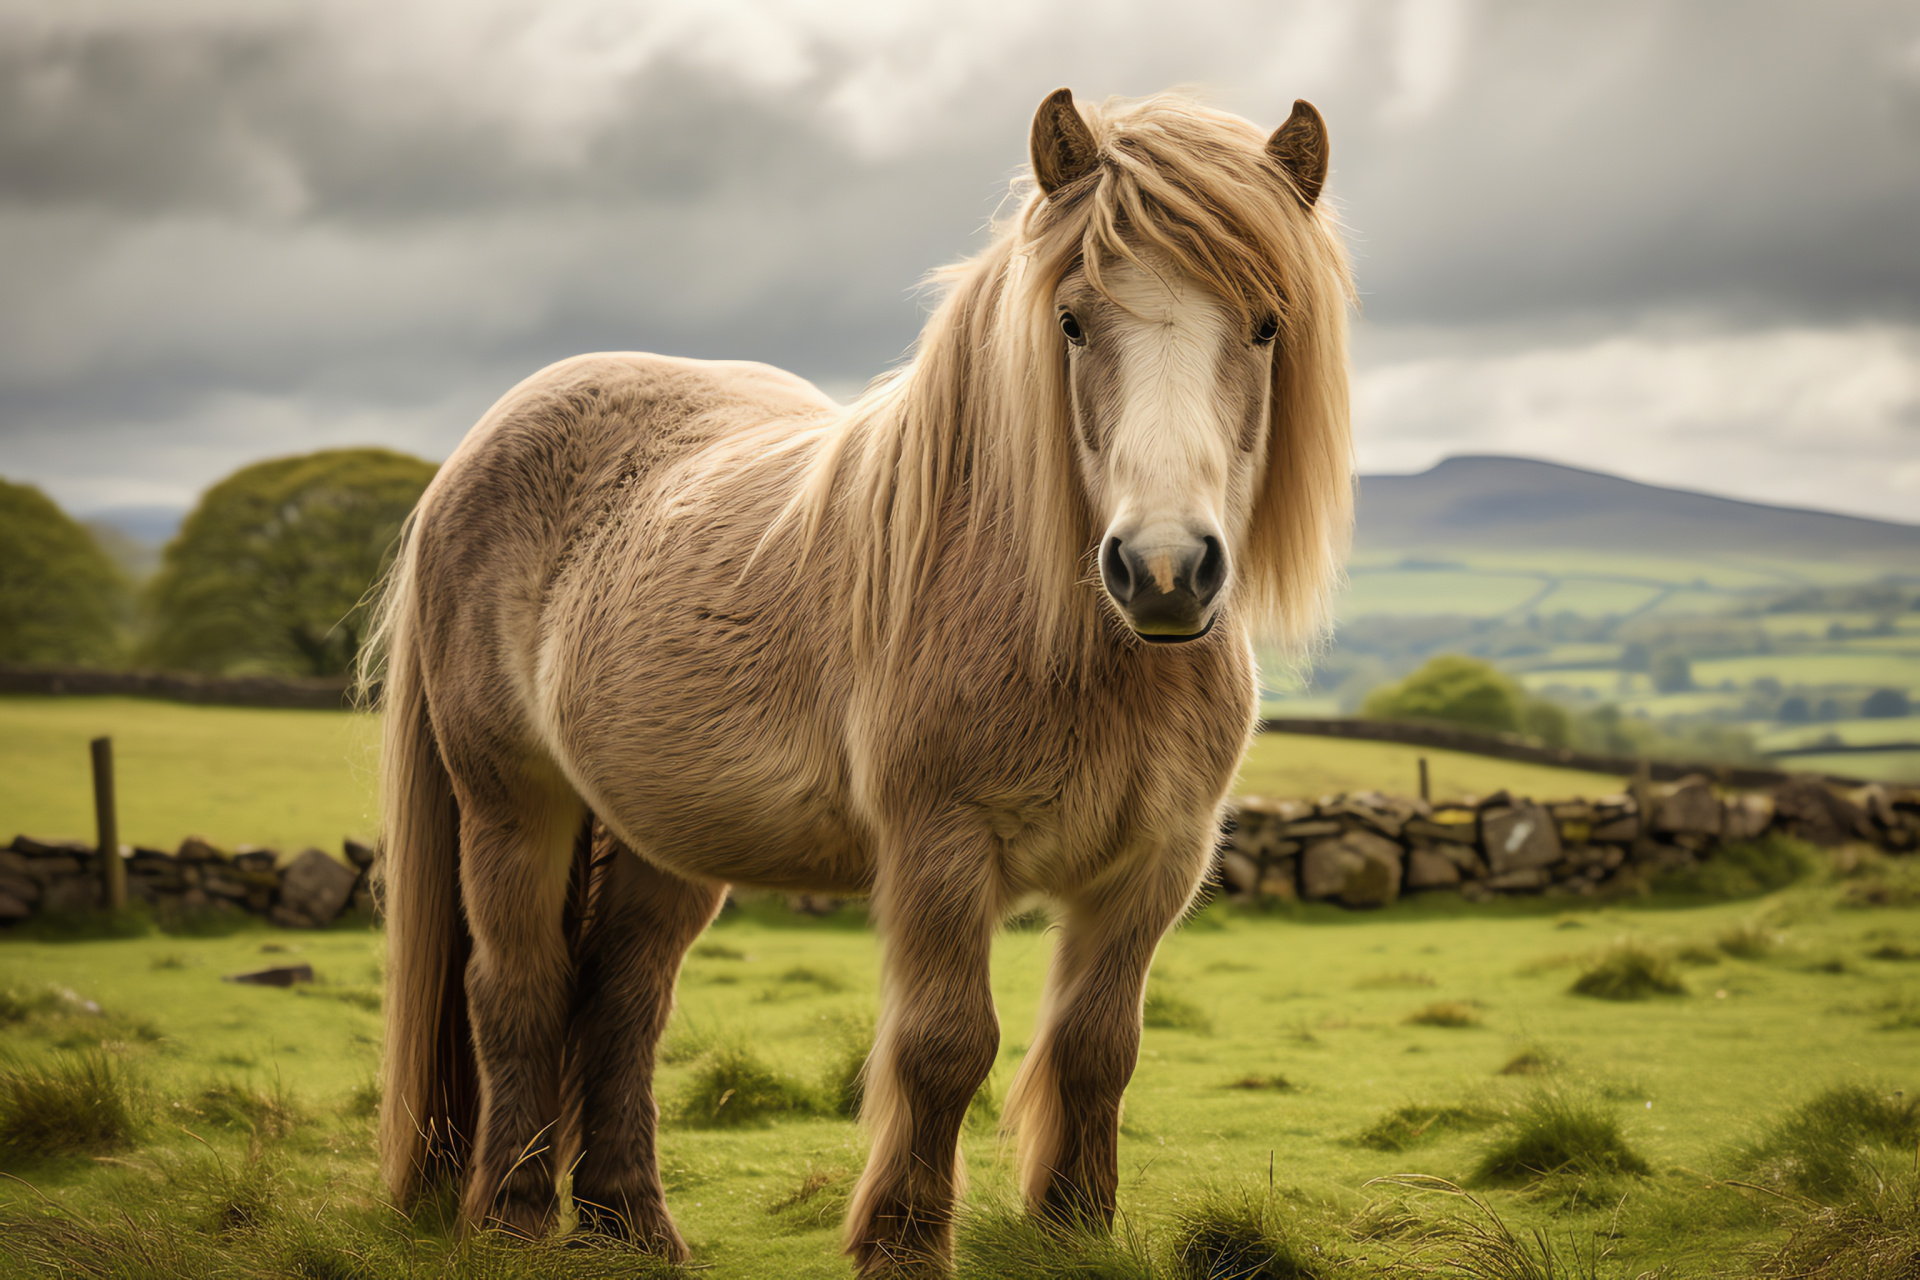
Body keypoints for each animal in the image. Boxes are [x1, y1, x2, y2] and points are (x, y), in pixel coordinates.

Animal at [370, 84, 1351, 1274]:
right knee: (516, 988)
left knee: (620, 997)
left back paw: (630, 1226)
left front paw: (1071, 1228)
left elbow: (1096, 1047)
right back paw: (513, 1220)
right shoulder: (939, 846)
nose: (1164, 569)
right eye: (1073, 321)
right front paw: (902, 1240)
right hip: (514, 802)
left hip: (664, 836)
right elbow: (945, 1045)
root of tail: (473, 453)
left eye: (1265, 323)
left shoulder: (1155, 864)